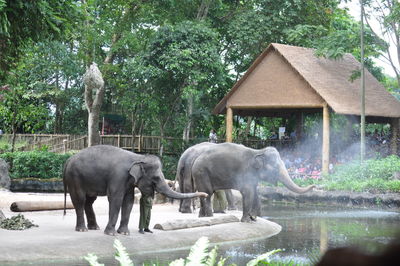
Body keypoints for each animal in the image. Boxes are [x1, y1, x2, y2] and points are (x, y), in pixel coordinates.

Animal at [64, 145, 208, 235]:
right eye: (155, 178)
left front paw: (124, 233)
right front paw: (111, 234)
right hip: (75, 178)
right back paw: (82, 230)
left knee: (89, 201)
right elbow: (116, 199)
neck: (138, 158)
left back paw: (94, 228)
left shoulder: (128, 182)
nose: (205, 194)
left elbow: (129, 201)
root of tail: (68, 159)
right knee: (80, 200)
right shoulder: (118, 176)